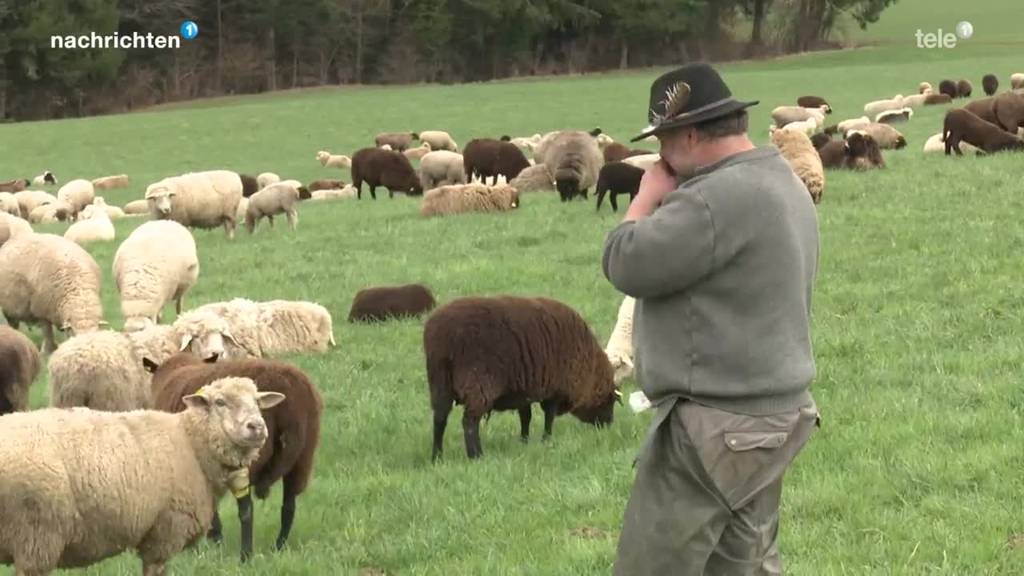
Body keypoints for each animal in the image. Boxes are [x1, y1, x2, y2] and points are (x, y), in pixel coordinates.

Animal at [0, 375, 284, 569]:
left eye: (258, 402)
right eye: (220, 402)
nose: (256, 426)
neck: (190, 442)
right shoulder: (165, 531)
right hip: (37, 536)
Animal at [421, 293, 618, 459]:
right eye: (609, 401)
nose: (609, 425)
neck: (588, 368)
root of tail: (441, 337)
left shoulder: (524, 390)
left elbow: (526, 417)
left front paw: (524, 441)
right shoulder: (554, 388)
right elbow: (549, 416)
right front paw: (546, 439)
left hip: (440, 381)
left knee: (439, 419)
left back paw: (437, 456)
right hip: (477, 381)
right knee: (469, 422)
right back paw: (476, 456)